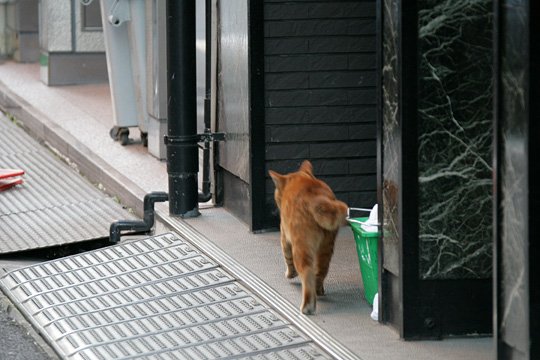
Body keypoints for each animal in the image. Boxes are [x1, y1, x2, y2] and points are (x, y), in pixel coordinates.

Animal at [268, 161, 348, 316]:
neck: (300, 179)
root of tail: (316, 199)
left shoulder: (284, 237)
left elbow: (287, 259)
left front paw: (290, 274)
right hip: (326, 247)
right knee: (321, 271)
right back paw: (319, 291)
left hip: (301, 247)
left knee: (307, 274)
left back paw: (307, 306)